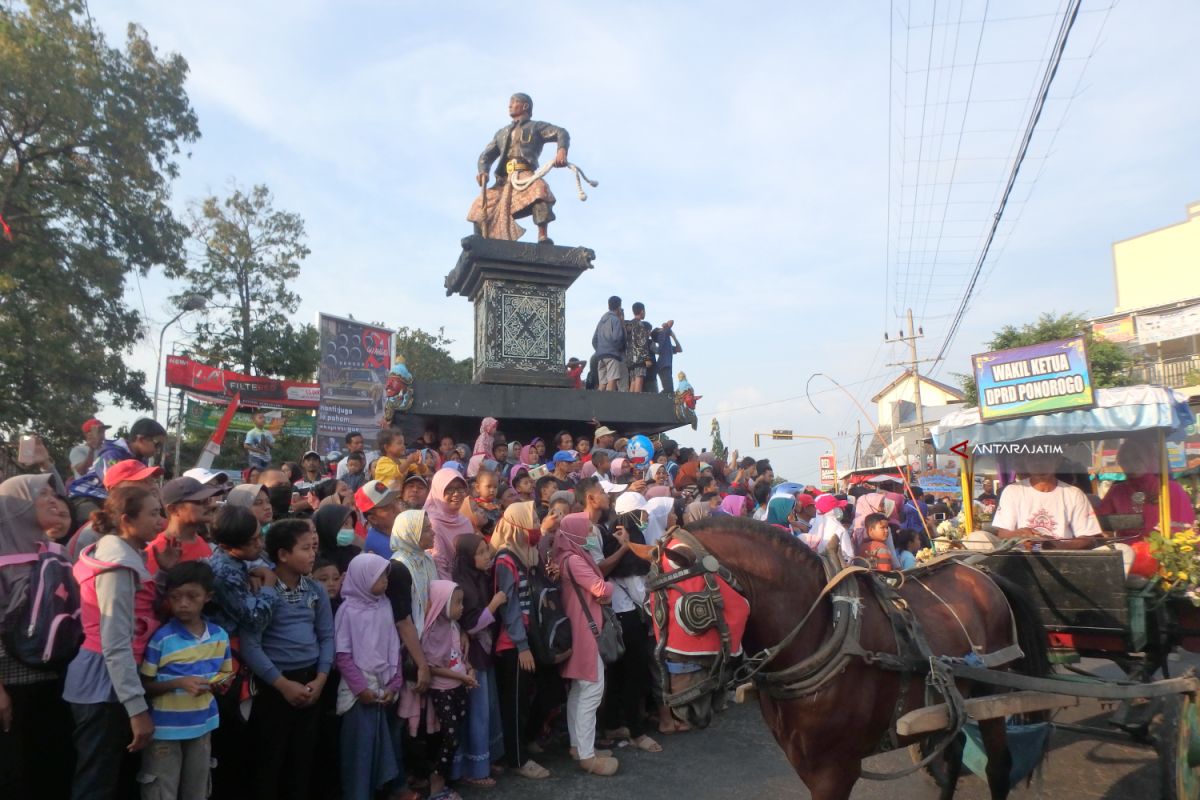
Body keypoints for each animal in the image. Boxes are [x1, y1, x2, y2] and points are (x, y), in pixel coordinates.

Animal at [648, 520, 1051, 800]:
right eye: (651, 611)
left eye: (694, 611)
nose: (681, 704)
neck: (824, 634)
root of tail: (982, 573)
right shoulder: (804, 761)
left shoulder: (835, 770)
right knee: (949, 757)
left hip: (994, 688)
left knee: (999, 766)